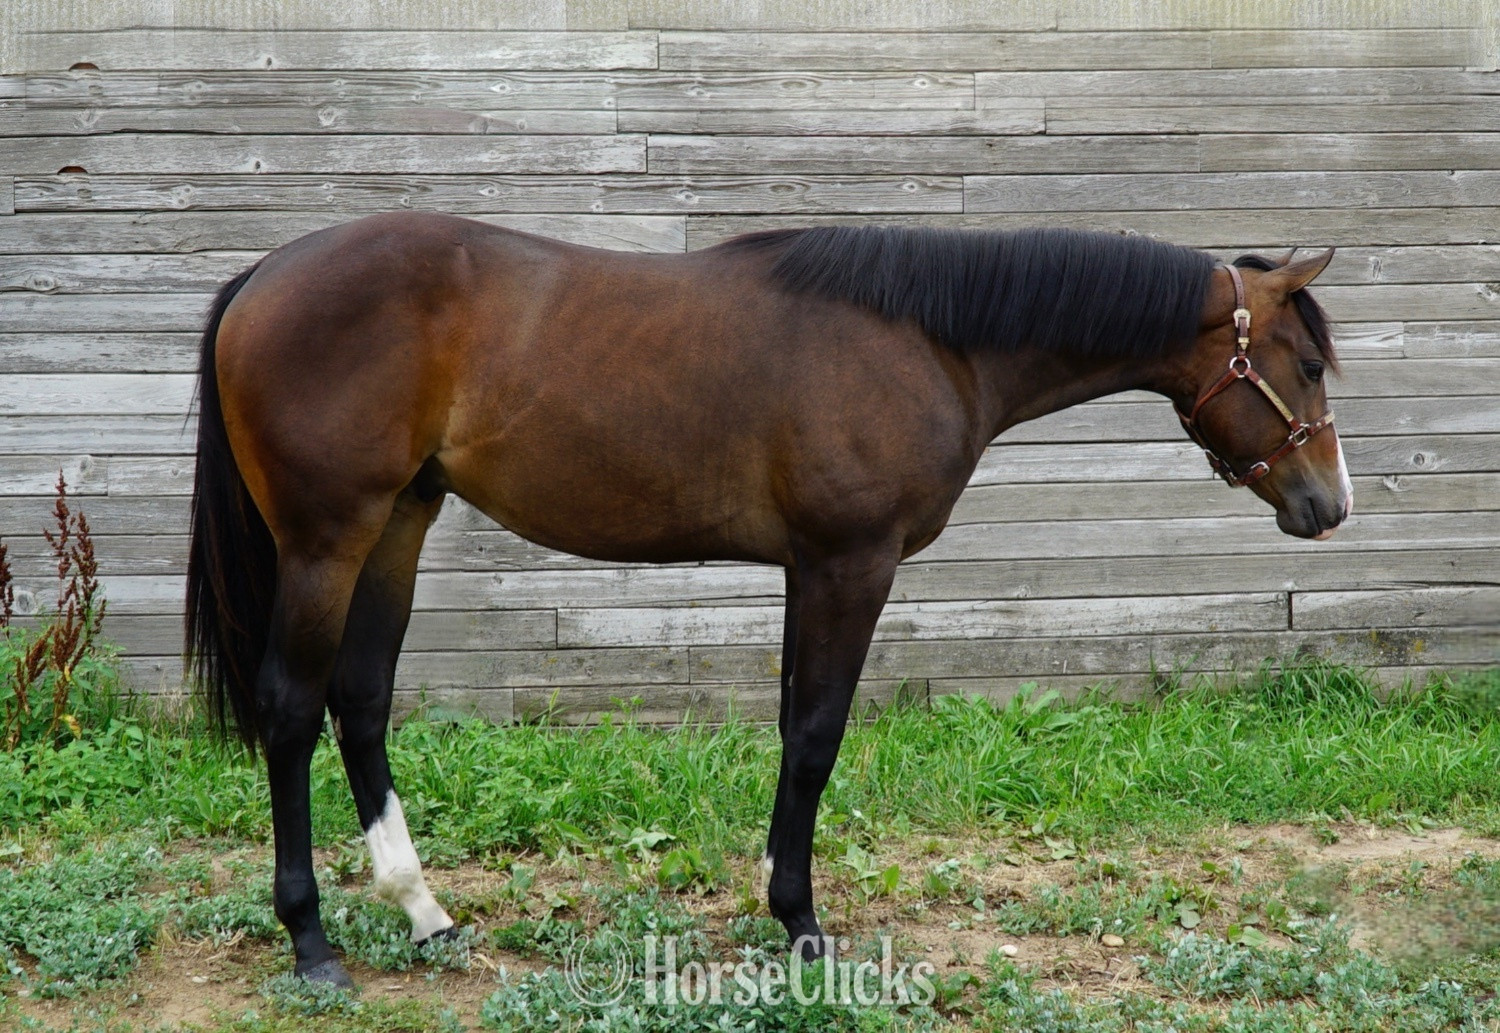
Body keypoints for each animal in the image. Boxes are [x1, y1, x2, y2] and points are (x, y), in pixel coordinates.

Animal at [185, 214, 1351, 986]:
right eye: (1302, 361)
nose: (1328, 503)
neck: (928, 340)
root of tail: (263, 275)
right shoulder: (848, 563)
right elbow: (817, 734)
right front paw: (800, 922)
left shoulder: (808, 569)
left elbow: (795, 729)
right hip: (329, 539)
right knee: (291, 709)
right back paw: (311, 940)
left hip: (400, 521)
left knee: (362, 702)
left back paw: (423, 909)